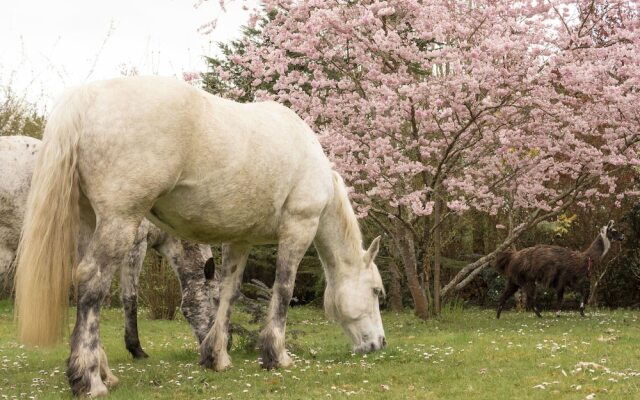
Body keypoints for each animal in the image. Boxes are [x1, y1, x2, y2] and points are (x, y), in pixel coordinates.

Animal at [496, 219, 624, 318]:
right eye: (614, 231)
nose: (623, 236)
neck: (583, 259)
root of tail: (513, 256)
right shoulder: (565, 279)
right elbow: (566, 296)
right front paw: (565, 313)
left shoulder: (569, 280)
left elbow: (579, 292)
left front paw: (580, 312)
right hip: (527, 279)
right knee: (530, 298)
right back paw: (539, 315)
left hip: (515, 279)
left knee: (505, 295)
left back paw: (498, 316)